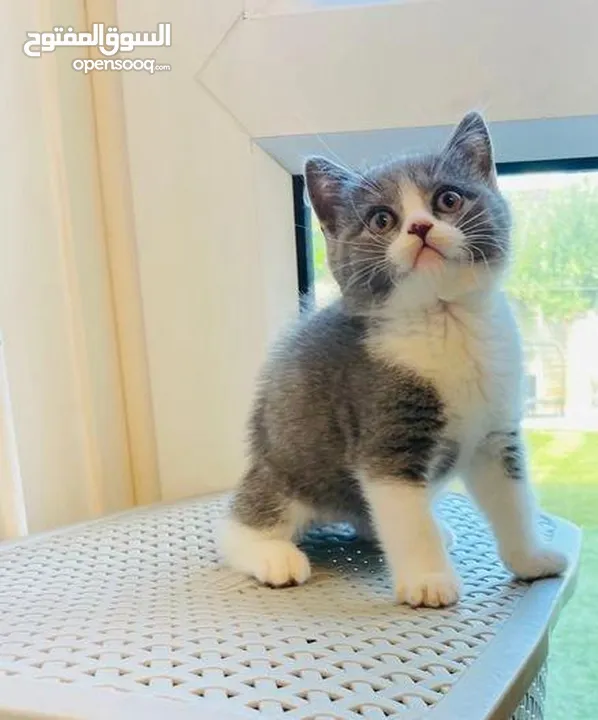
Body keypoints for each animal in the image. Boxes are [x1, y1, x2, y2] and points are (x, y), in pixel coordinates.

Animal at [219, 114, 568, 608]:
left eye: (448, 199)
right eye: (382, 219)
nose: (419, 227)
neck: (447, 322)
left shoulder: (495, 433)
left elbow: (514, 500)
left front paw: (531, 560)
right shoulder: (385, 432)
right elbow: (408, 518)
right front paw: (428, 581)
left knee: (371, 517)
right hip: (287, 466)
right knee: (239, 522)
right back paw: (271, 554)